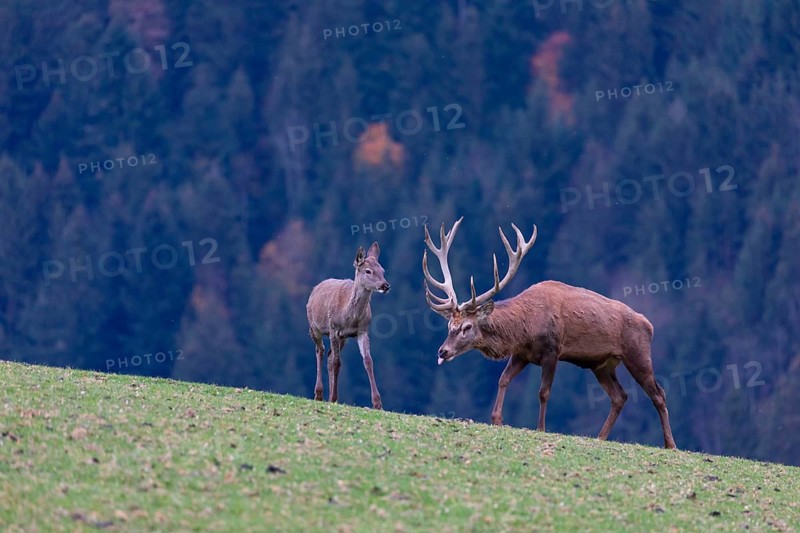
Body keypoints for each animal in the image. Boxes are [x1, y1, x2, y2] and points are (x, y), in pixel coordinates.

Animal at [307, 242, 390, 409]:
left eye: (382, 270)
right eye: (368, 271)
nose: (385, 286)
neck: (349, 318)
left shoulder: (362, 331)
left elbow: (368, 360)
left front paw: (377, 403)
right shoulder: (334, 329)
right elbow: (337, 363)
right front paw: (333, 397)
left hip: (343, 338)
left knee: (329, 355)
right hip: (314, 327)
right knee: (320, 350)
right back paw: (319, 394)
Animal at [423, 217, 676, 449]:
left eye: (467, 327)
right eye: (449, 326)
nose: (443, 351)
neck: (525, 328)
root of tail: (649, 325)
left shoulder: (552, 350)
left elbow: (543, 392)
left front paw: (541, 428)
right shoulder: (521, 354)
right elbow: (503, 379)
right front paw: (496, 419)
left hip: (638, 354)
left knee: (658, 393)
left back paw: (670, 444)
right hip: (602, 365)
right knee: (620, 396)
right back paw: (600, 436)